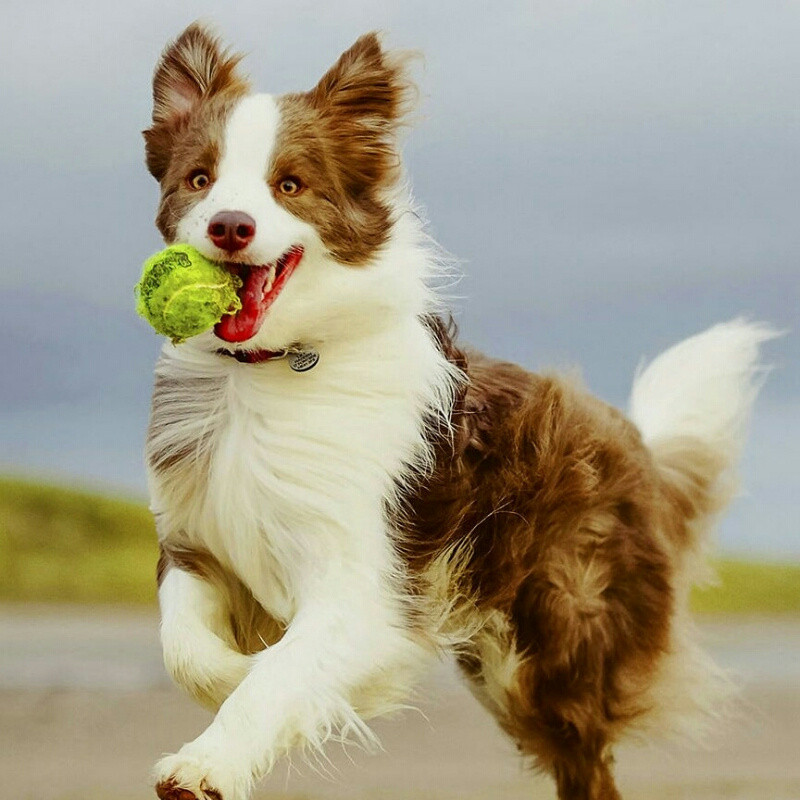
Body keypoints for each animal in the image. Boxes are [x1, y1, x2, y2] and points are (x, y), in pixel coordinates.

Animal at [142, 23, 776, 800]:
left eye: (289, 184)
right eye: (199, 179)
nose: (230, 226)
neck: (270, 367)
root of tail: (636, 443)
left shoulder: (365, 581)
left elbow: (282, 674)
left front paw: (207, 764)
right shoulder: (195, 539)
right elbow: (187, 648)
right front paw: (234, 673)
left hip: (546, 651)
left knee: (588, 761)